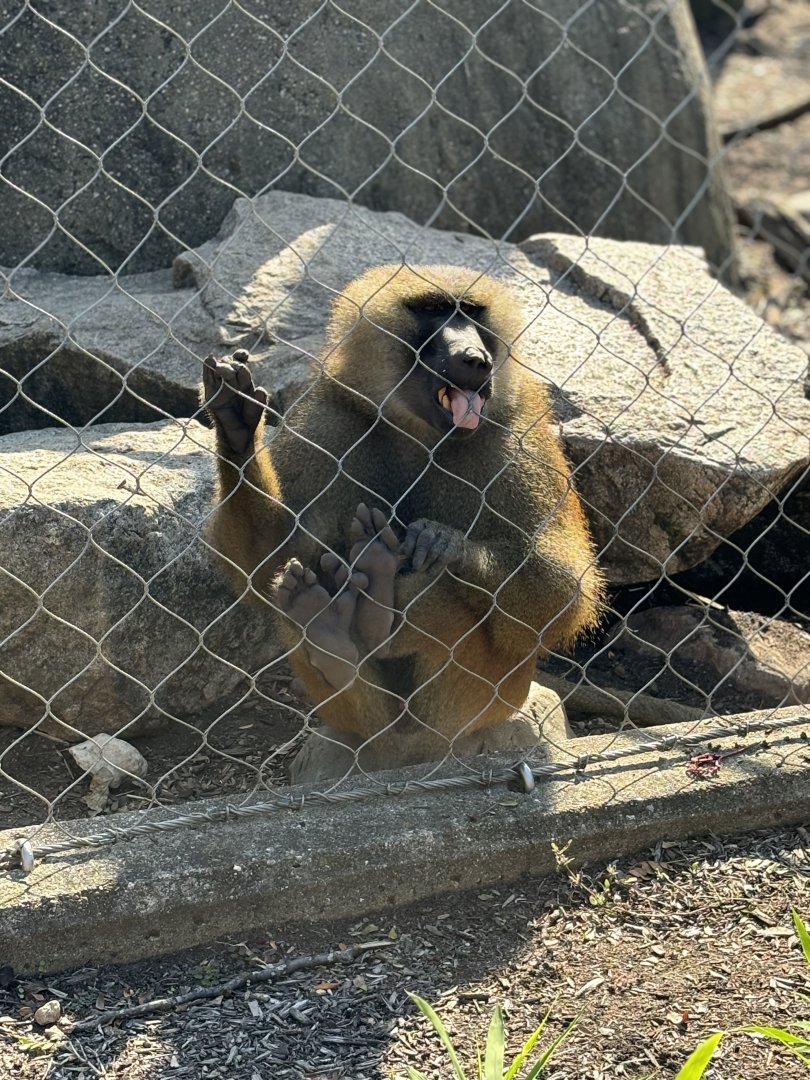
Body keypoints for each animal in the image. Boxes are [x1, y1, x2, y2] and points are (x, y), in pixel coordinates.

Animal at [202, 263, 604, 767]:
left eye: (471, 312)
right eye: (432, 310)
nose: (475, 359)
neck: (419, 433)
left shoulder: (521, 438)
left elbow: (564, 592)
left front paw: (443, 543)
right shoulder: (329, 418)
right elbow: (266, 563)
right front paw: (235, 426)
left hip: (480, 706)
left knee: (436, 590)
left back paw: (377, 594)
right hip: (356, 719)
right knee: (298, 583)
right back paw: (333, 634)